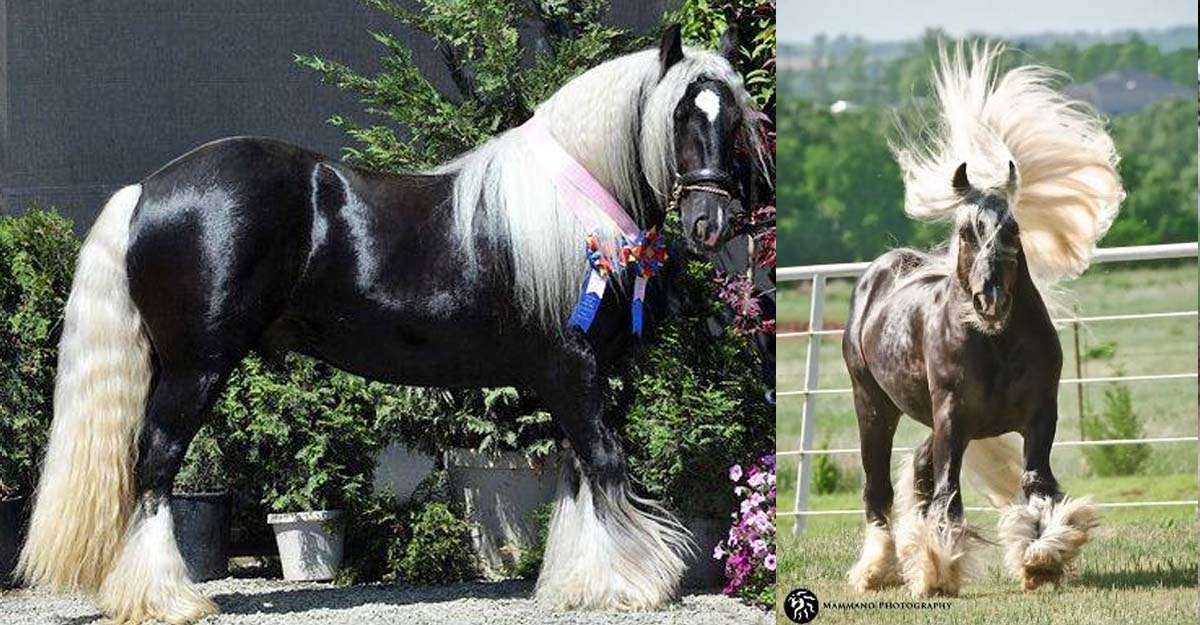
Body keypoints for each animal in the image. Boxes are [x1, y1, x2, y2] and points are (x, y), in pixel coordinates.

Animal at [16, 26, 768, 619]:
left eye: (732, 121)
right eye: (681, 117)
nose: (711, 221)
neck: (570, 210)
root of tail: (146, 190)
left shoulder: (572, 380)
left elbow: (579, 470)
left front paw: (576, 582)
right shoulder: (573, 368)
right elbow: (607, 461)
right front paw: (629, 584)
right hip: (195, 367)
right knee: (156, 463)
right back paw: (166, 598)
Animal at [840, 44, 1118, 599]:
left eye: (1012, 229)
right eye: (968, 232)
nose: (990, 299)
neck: (995, 344)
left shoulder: (1038, 412)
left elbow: (1036, 484)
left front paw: (1042, 557)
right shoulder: (952, 414)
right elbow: (948, 492)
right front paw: (936, 570)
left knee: (918, 470)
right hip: (874, 405)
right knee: (878, 489)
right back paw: (876, 570)